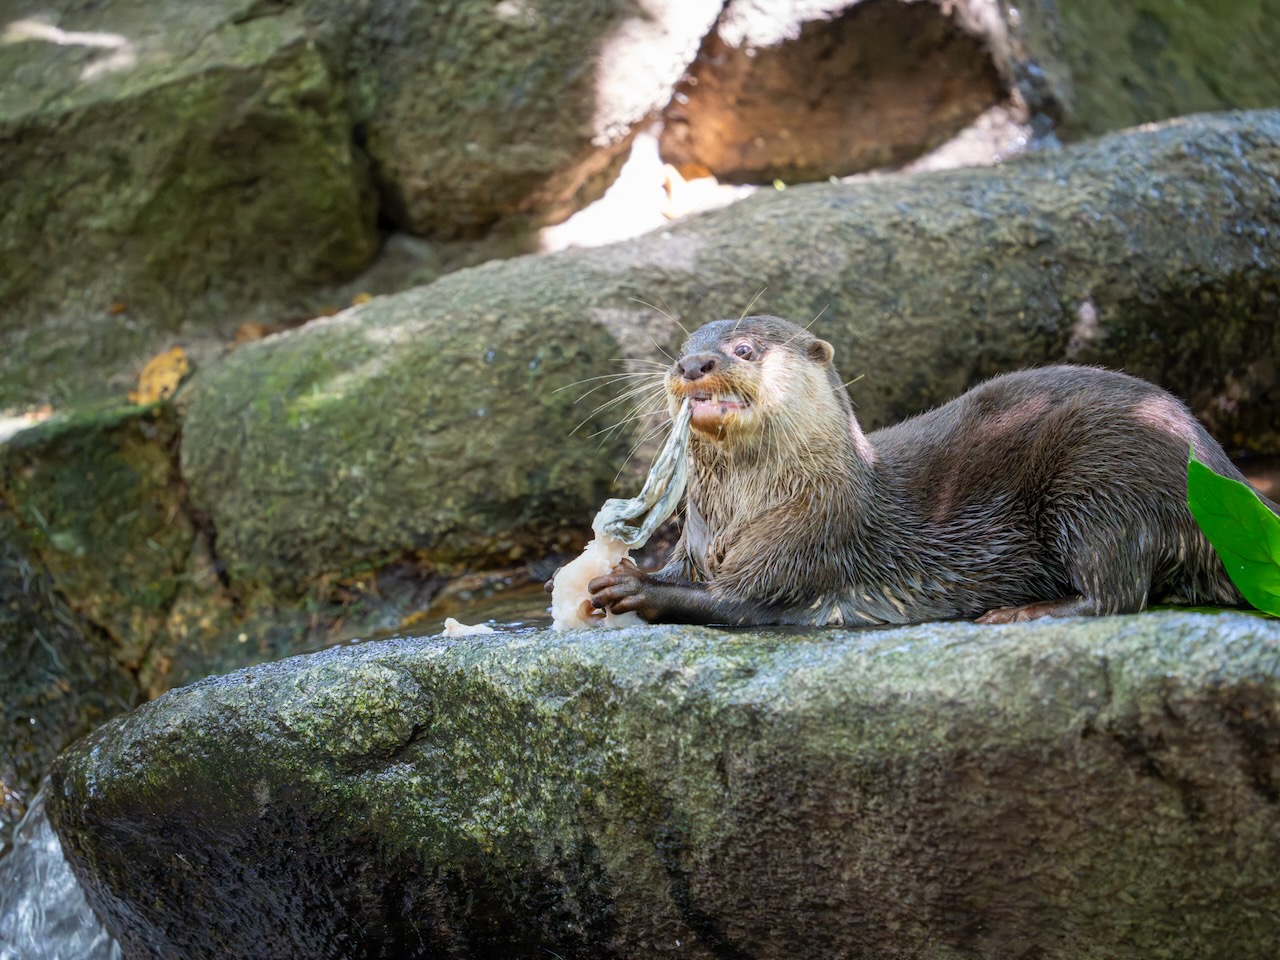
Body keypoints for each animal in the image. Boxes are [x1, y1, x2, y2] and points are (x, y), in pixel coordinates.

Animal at [587, 315, 1279, 626]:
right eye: (680, 349)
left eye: (744, 349)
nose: (693, 364)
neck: (749, 510)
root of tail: (1226, 472)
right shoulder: (696, 543)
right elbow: (690, 575)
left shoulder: (815, 539)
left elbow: (743, 602)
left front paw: (636, 587)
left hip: (1104, 479)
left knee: (1116, 590)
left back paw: (1020, 612)